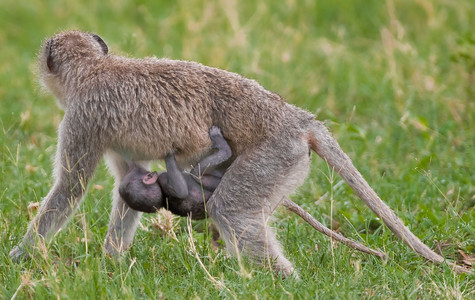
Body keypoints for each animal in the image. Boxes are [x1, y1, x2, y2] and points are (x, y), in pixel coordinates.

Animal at [11, 31, 468, 276]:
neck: (93, 70)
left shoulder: (81, 118)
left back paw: (282, 282)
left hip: (275, 154)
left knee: (231, 209)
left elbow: (69, 188)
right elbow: (130, 182)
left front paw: (17, 257)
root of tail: (297, 119)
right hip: (285, 161)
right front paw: (111, 264)